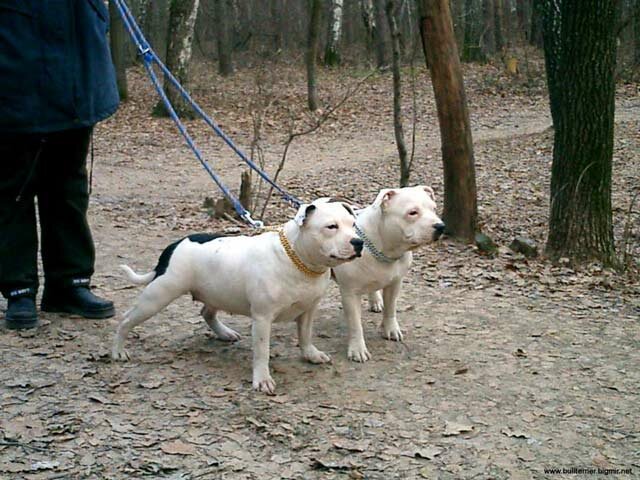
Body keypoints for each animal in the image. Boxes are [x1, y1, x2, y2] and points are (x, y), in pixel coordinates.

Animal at [112, 199, 362, 394]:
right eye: (331, 227)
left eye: (353, 225)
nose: (358, 242)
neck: (299, 260)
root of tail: (174, 245)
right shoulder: (262, 318)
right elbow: (262, 351)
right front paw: (262, 379)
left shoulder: (308, 308)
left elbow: (306, 335)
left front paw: (311, 354)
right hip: (158, 296)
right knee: (126, 319)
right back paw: (118, 350)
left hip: (215, 292)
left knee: (207, 312)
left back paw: (224, 333)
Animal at [332, 186, 442, 362]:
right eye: (412, 212)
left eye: (434, 209)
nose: (441, 226)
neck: (383, 249)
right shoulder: (350, 293)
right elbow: (355, 324)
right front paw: (358, 349)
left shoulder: (395, 283)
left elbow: (391, 309)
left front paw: (390, 329)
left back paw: (375, 301)